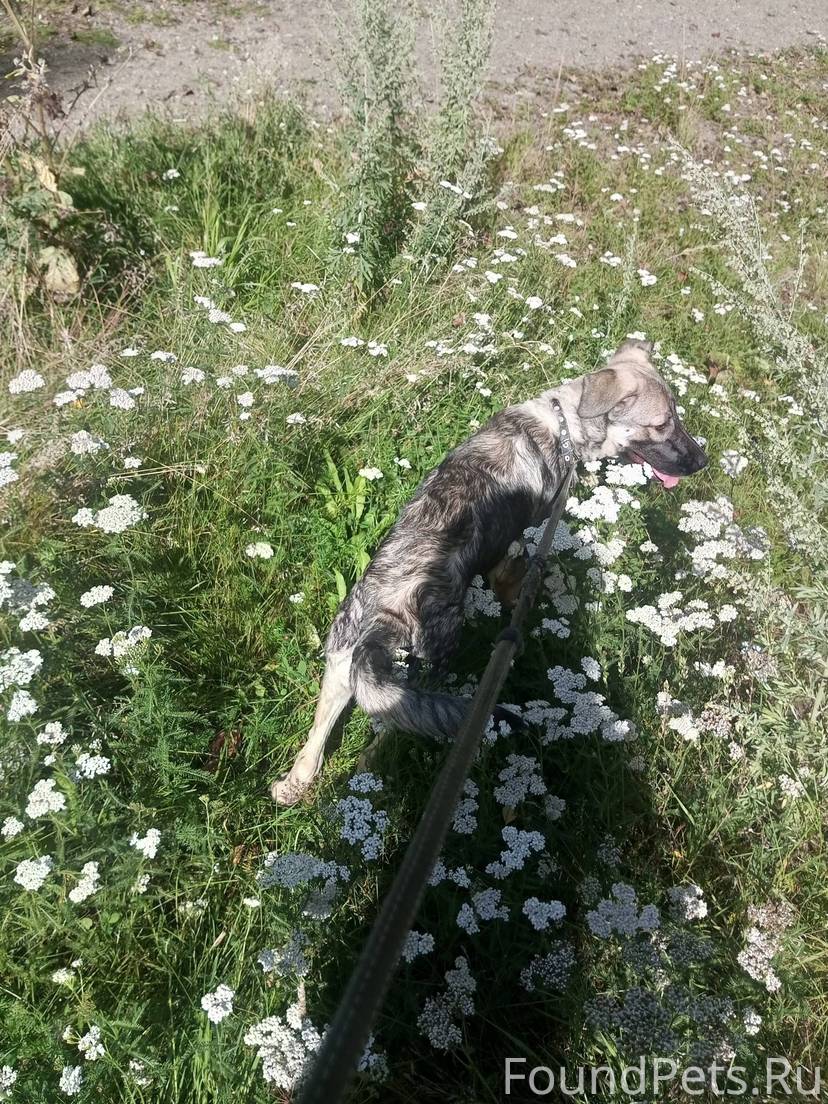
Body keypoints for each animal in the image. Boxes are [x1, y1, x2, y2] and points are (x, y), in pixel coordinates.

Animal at [272, 339, 707, 804]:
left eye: (677, 416)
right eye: (662, 424)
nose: (703, 461)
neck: (565, 424)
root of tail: (383, 614)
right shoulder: (520, 538)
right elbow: (516, 574)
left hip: (341, 659)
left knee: (321, 734)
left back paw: (296, 784)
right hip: (432, 659)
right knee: (392, 724)